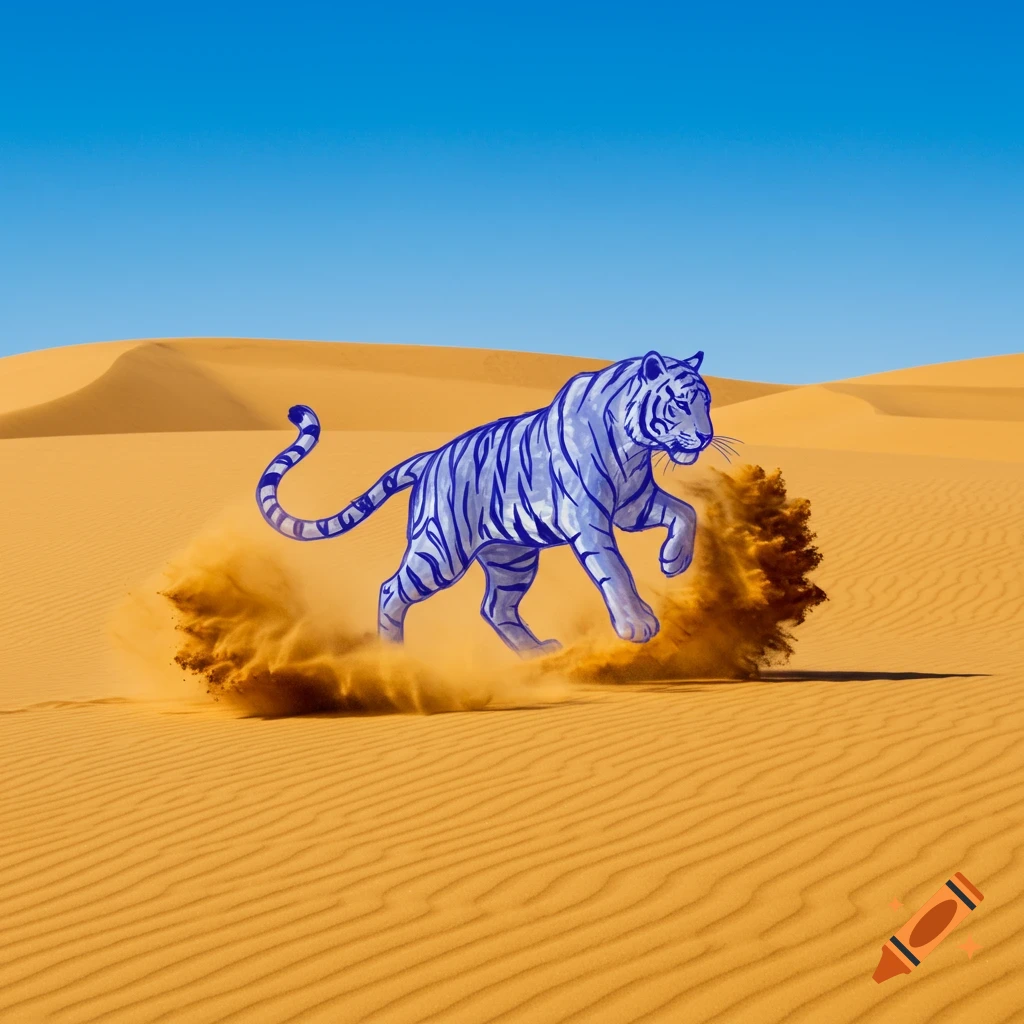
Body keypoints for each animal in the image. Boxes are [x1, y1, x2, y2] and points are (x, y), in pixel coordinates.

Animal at [256, 350, 714, 655]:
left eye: (706, 402)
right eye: (679, 402)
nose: (707, 437)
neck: (634, 446)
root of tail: (430, 457)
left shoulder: (634, 503)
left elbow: (685, 512)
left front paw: (674, 561)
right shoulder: (589, 517)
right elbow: (614, 569)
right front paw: (638, 624)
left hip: (512, 556)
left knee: (495, 607)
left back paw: (536, 651)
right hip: (440, 552)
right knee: (391, 590)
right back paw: (396, 657)